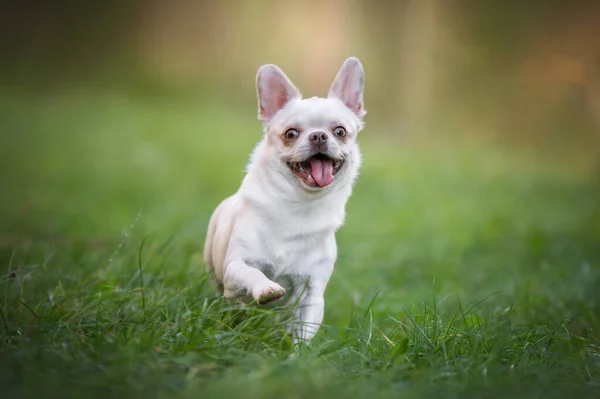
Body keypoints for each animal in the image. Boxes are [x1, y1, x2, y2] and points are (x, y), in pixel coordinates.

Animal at [204, 56, 368, 344]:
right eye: (291, 134)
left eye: (340, 132)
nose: (318, 135)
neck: (300, 206)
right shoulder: (235, 269)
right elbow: (253, 272)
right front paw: (267, 289)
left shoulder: (311, 294)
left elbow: (303, 332)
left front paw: (297, 353)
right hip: (216, 274)